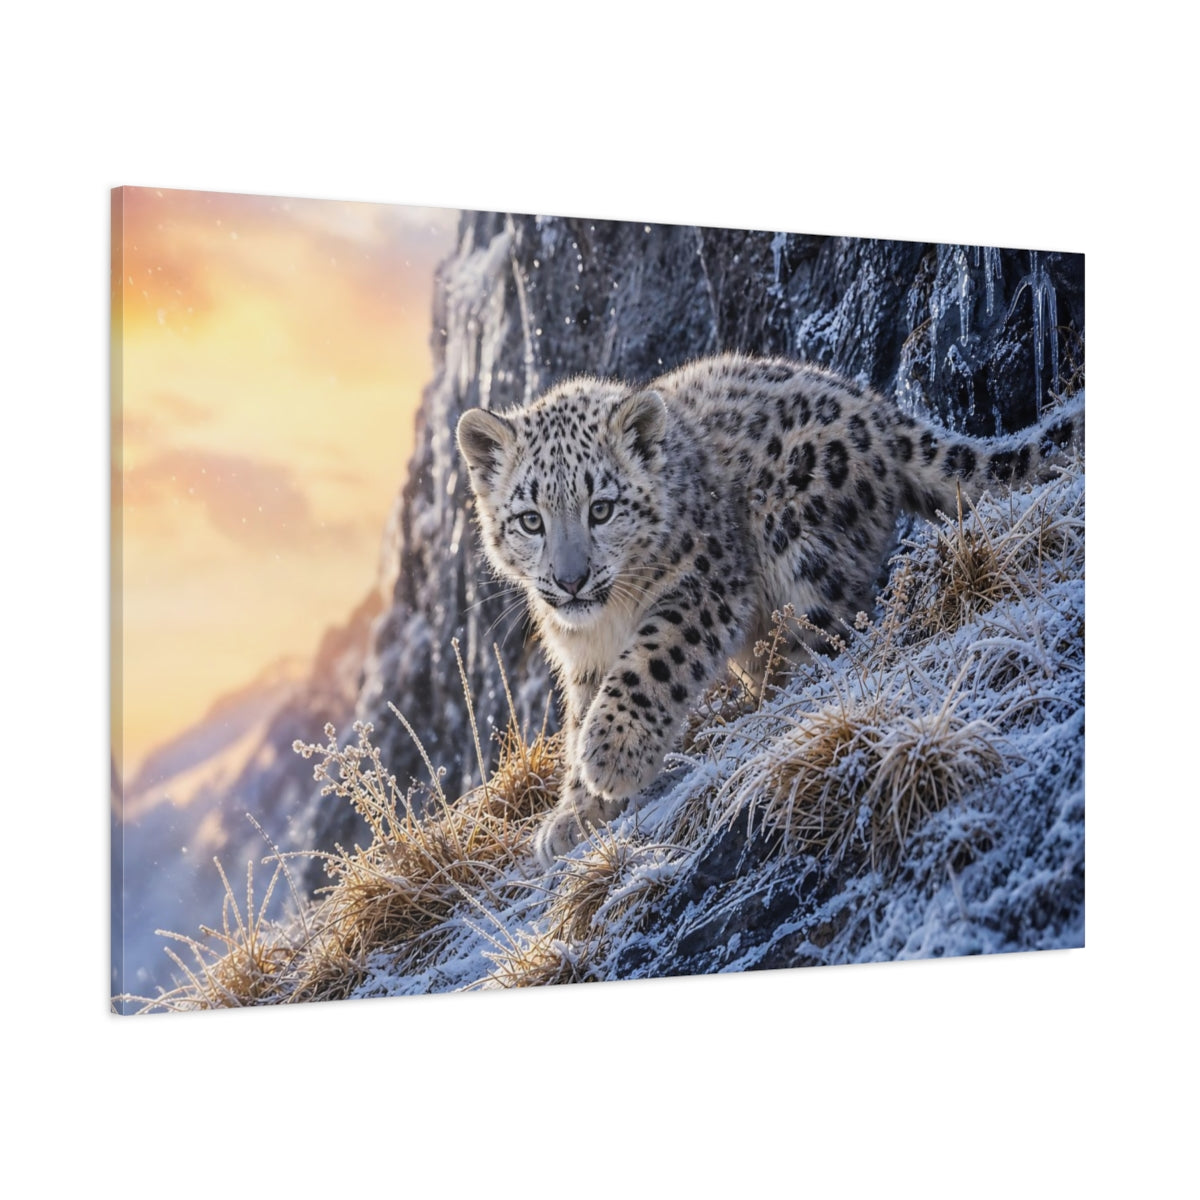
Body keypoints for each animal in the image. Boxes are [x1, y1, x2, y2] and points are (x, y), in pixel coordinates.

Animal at [455, 353, 1084, 869]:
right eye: (531, 520)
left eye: (602, 508)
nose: (571, 580)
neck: (608, 618)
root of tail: (878, 407)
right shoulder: (582, 655)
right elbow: (583, 711)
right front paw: (579, 810)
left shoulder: (705, 581)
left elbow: (650, 663)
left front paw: (612, 756)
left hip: (799, 548)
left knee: (834, 638)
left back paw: (780, 703)